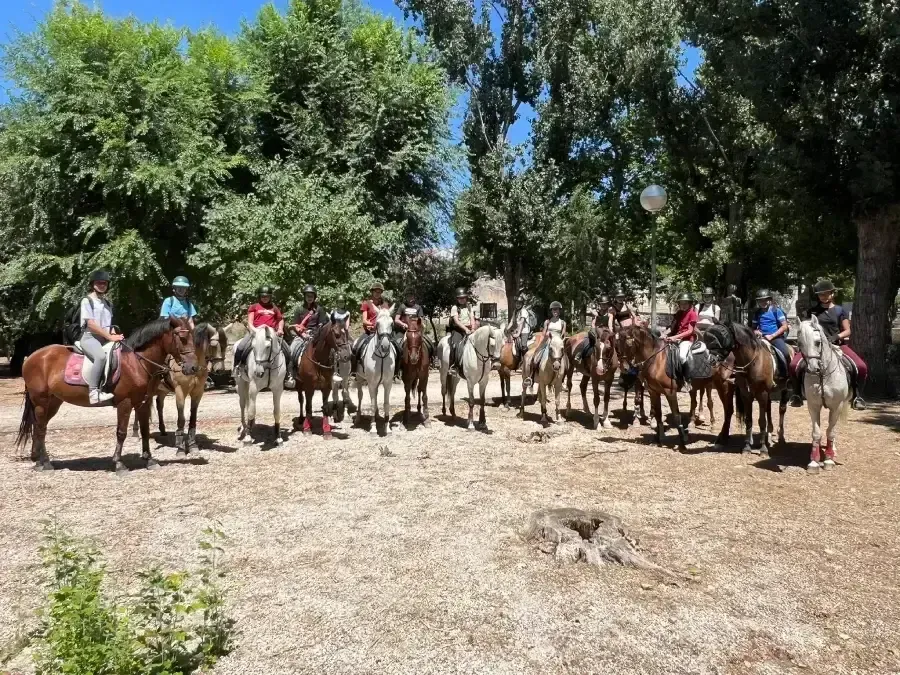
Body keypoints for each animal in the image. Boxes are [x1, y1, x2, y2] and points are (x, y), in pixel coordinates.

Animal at [17, 317, 197, 474]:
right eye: (182, 338)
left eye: (193, 337)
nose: (193, 368)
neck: (135, 362)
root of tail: (32, 357)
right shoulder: (125, 403)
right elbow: (121, 433)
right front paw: (119, 464)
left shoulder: (143, 403)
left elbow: (145, 430)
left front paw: (149, 460)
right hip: (41, 401)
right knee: (40, 429)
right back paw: (46, 463)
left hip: (53, 402)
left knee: (40, 428)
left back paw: (39, 461)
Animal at [130, 323, 227, 456]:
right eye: (213, 345)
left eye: (226, 345)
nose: (220, 370)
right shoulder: (180, 391)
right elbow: (181, 419)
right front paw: (180, 448)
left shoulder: (198, 393)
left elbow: (193, 418)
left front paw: (193, 446)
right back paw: (135, 433)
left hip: (162, 391)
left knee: (159, 405)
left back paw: (163, 430)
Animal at [703, 321, 788, 456]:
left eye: (724, 336)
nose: (711, 360)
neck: (752, 363)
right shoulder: (745, 394)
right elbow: (748, 419)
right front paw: (747, 447)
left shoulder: (761, 393)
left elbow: (761, 421)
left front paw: (763, 449)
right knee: (768, 408)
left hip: (784, 389)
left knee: (781, 409)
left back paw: (780, 437)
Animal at [797, 316, 851, 472]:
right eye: (799, 343)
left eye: (818, 342)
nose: (812, 368)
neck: (823, 374)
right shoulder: (813, 405)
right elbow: (816, 432)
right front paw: (814, 462)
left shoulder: (837, 406)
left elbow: (830, 431)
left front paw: (828, 460)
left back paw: (832, 450)